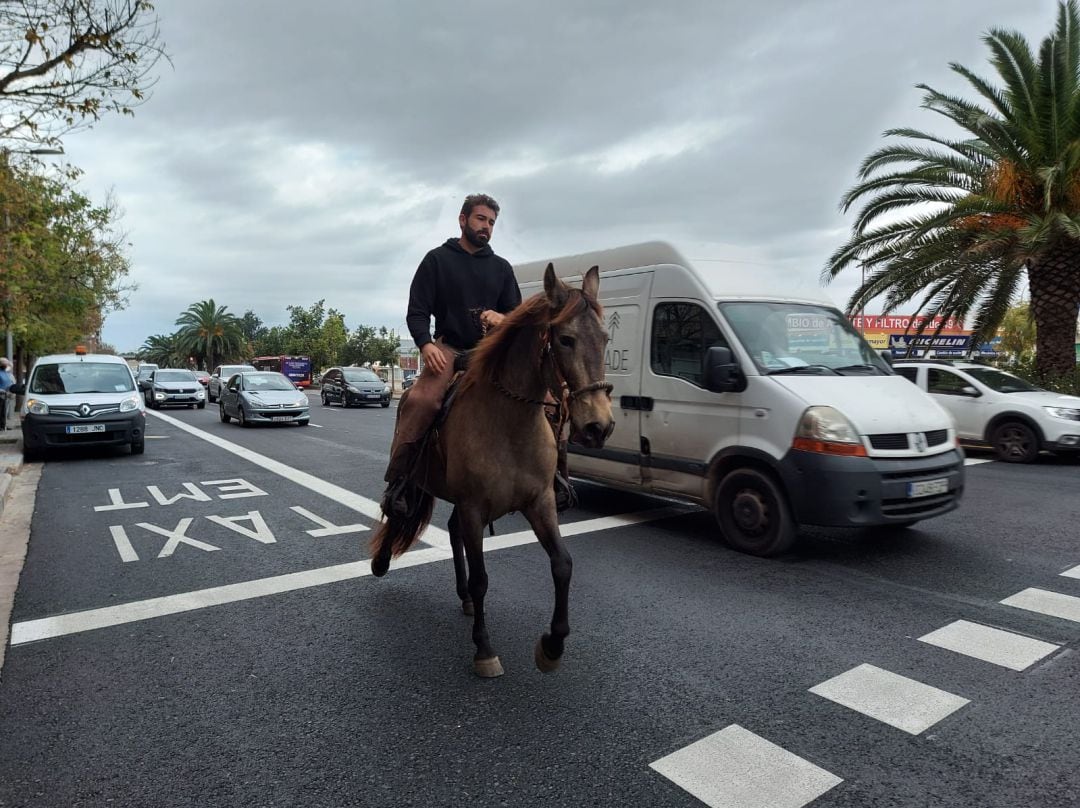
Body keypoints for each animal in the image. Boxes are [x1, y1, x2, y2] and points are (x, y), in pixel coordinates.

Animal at [369, 263, 613, 674]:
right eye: (565, 339)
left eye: (606, 338)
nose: (600, 425)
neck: (509, 423)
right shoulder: (473, 507)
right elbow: (483, 578)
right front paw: (484, 649)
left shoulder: (540, 502)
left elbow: (562, 564)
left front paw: (552, 646)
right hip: (418, 480)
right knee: (397, 507)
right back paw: (383, 560)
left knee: (451, 532)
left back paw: (465, 599)